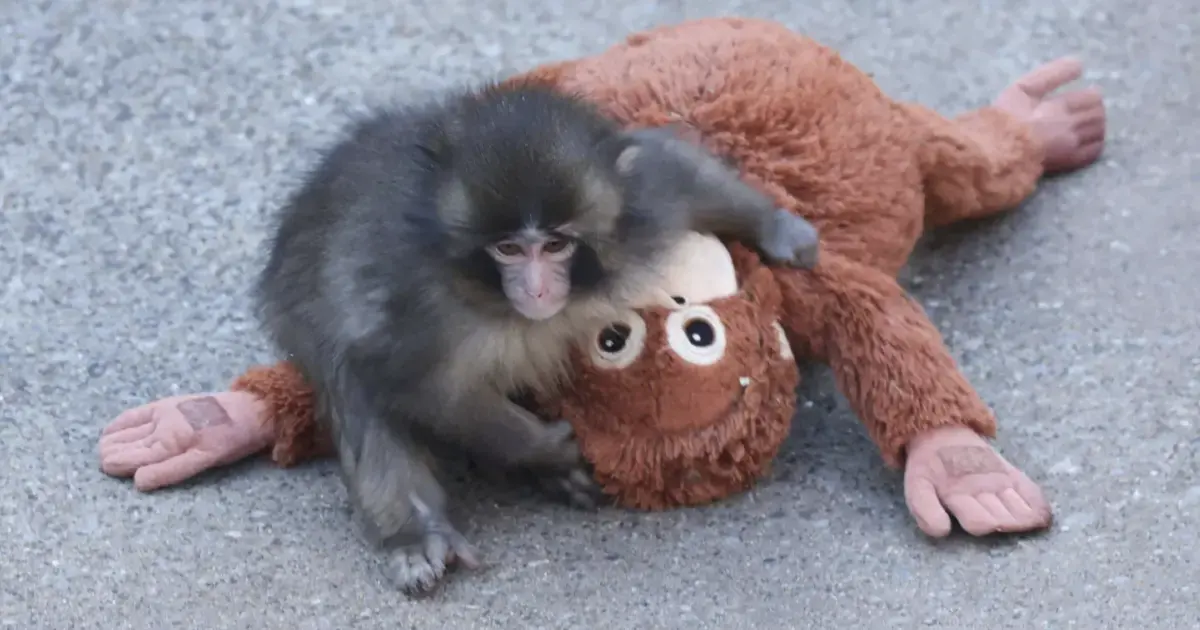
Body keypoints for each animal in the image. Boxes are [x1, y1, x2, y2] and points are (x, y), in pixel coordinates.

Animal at [253, 81, 820, 596]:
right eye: (507, 249)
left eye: (554, 245)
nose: (537, 288)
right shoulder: (415, 307)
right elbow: (418, 387)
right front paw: (546, 449)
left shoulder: (639, 208)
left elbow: (671, 168)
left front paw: (777, 227)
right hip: (297, 312)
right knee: (351, 383)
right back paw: (416, 533)